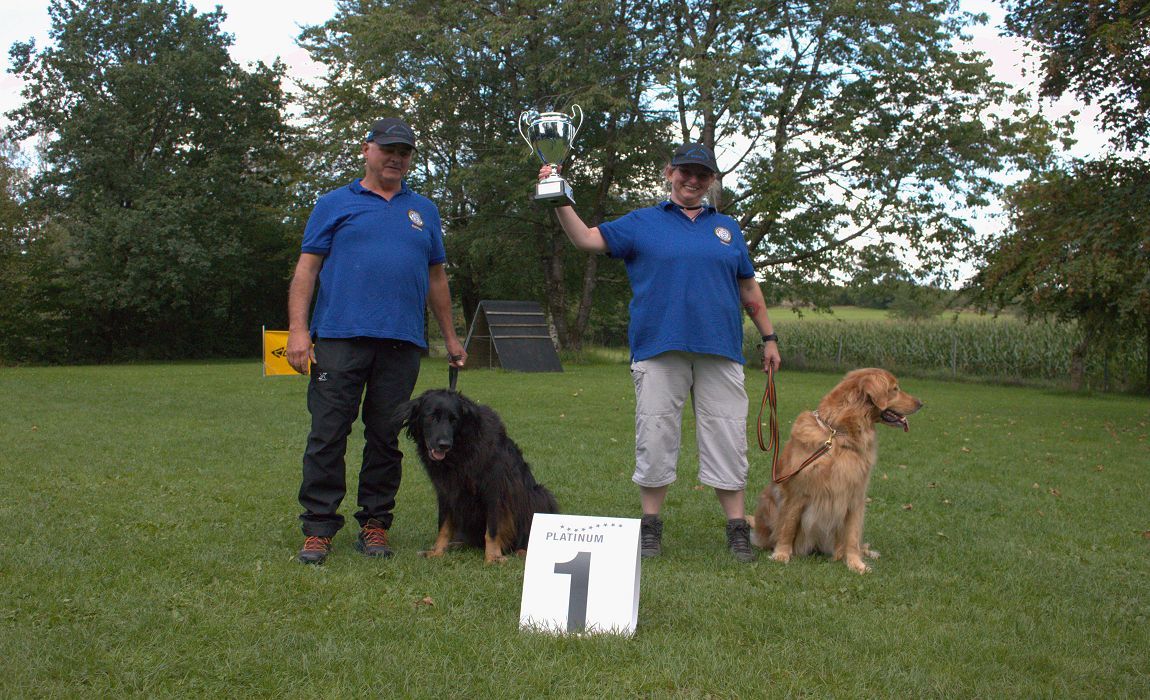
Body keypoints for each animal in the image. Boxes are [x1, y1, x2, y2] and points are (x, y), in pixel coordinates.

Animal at [393, 388, 558, 563]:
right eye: (431, 417)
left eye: (454, 420)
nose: (444, 445)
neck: (461, 449)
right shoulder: (445, 491)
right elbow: (444, 525)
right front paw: (437, 551)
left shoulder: (493, 489)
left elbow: (492, 529)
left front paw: (492, 557)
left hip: (540, 495)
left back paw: (522, 551)